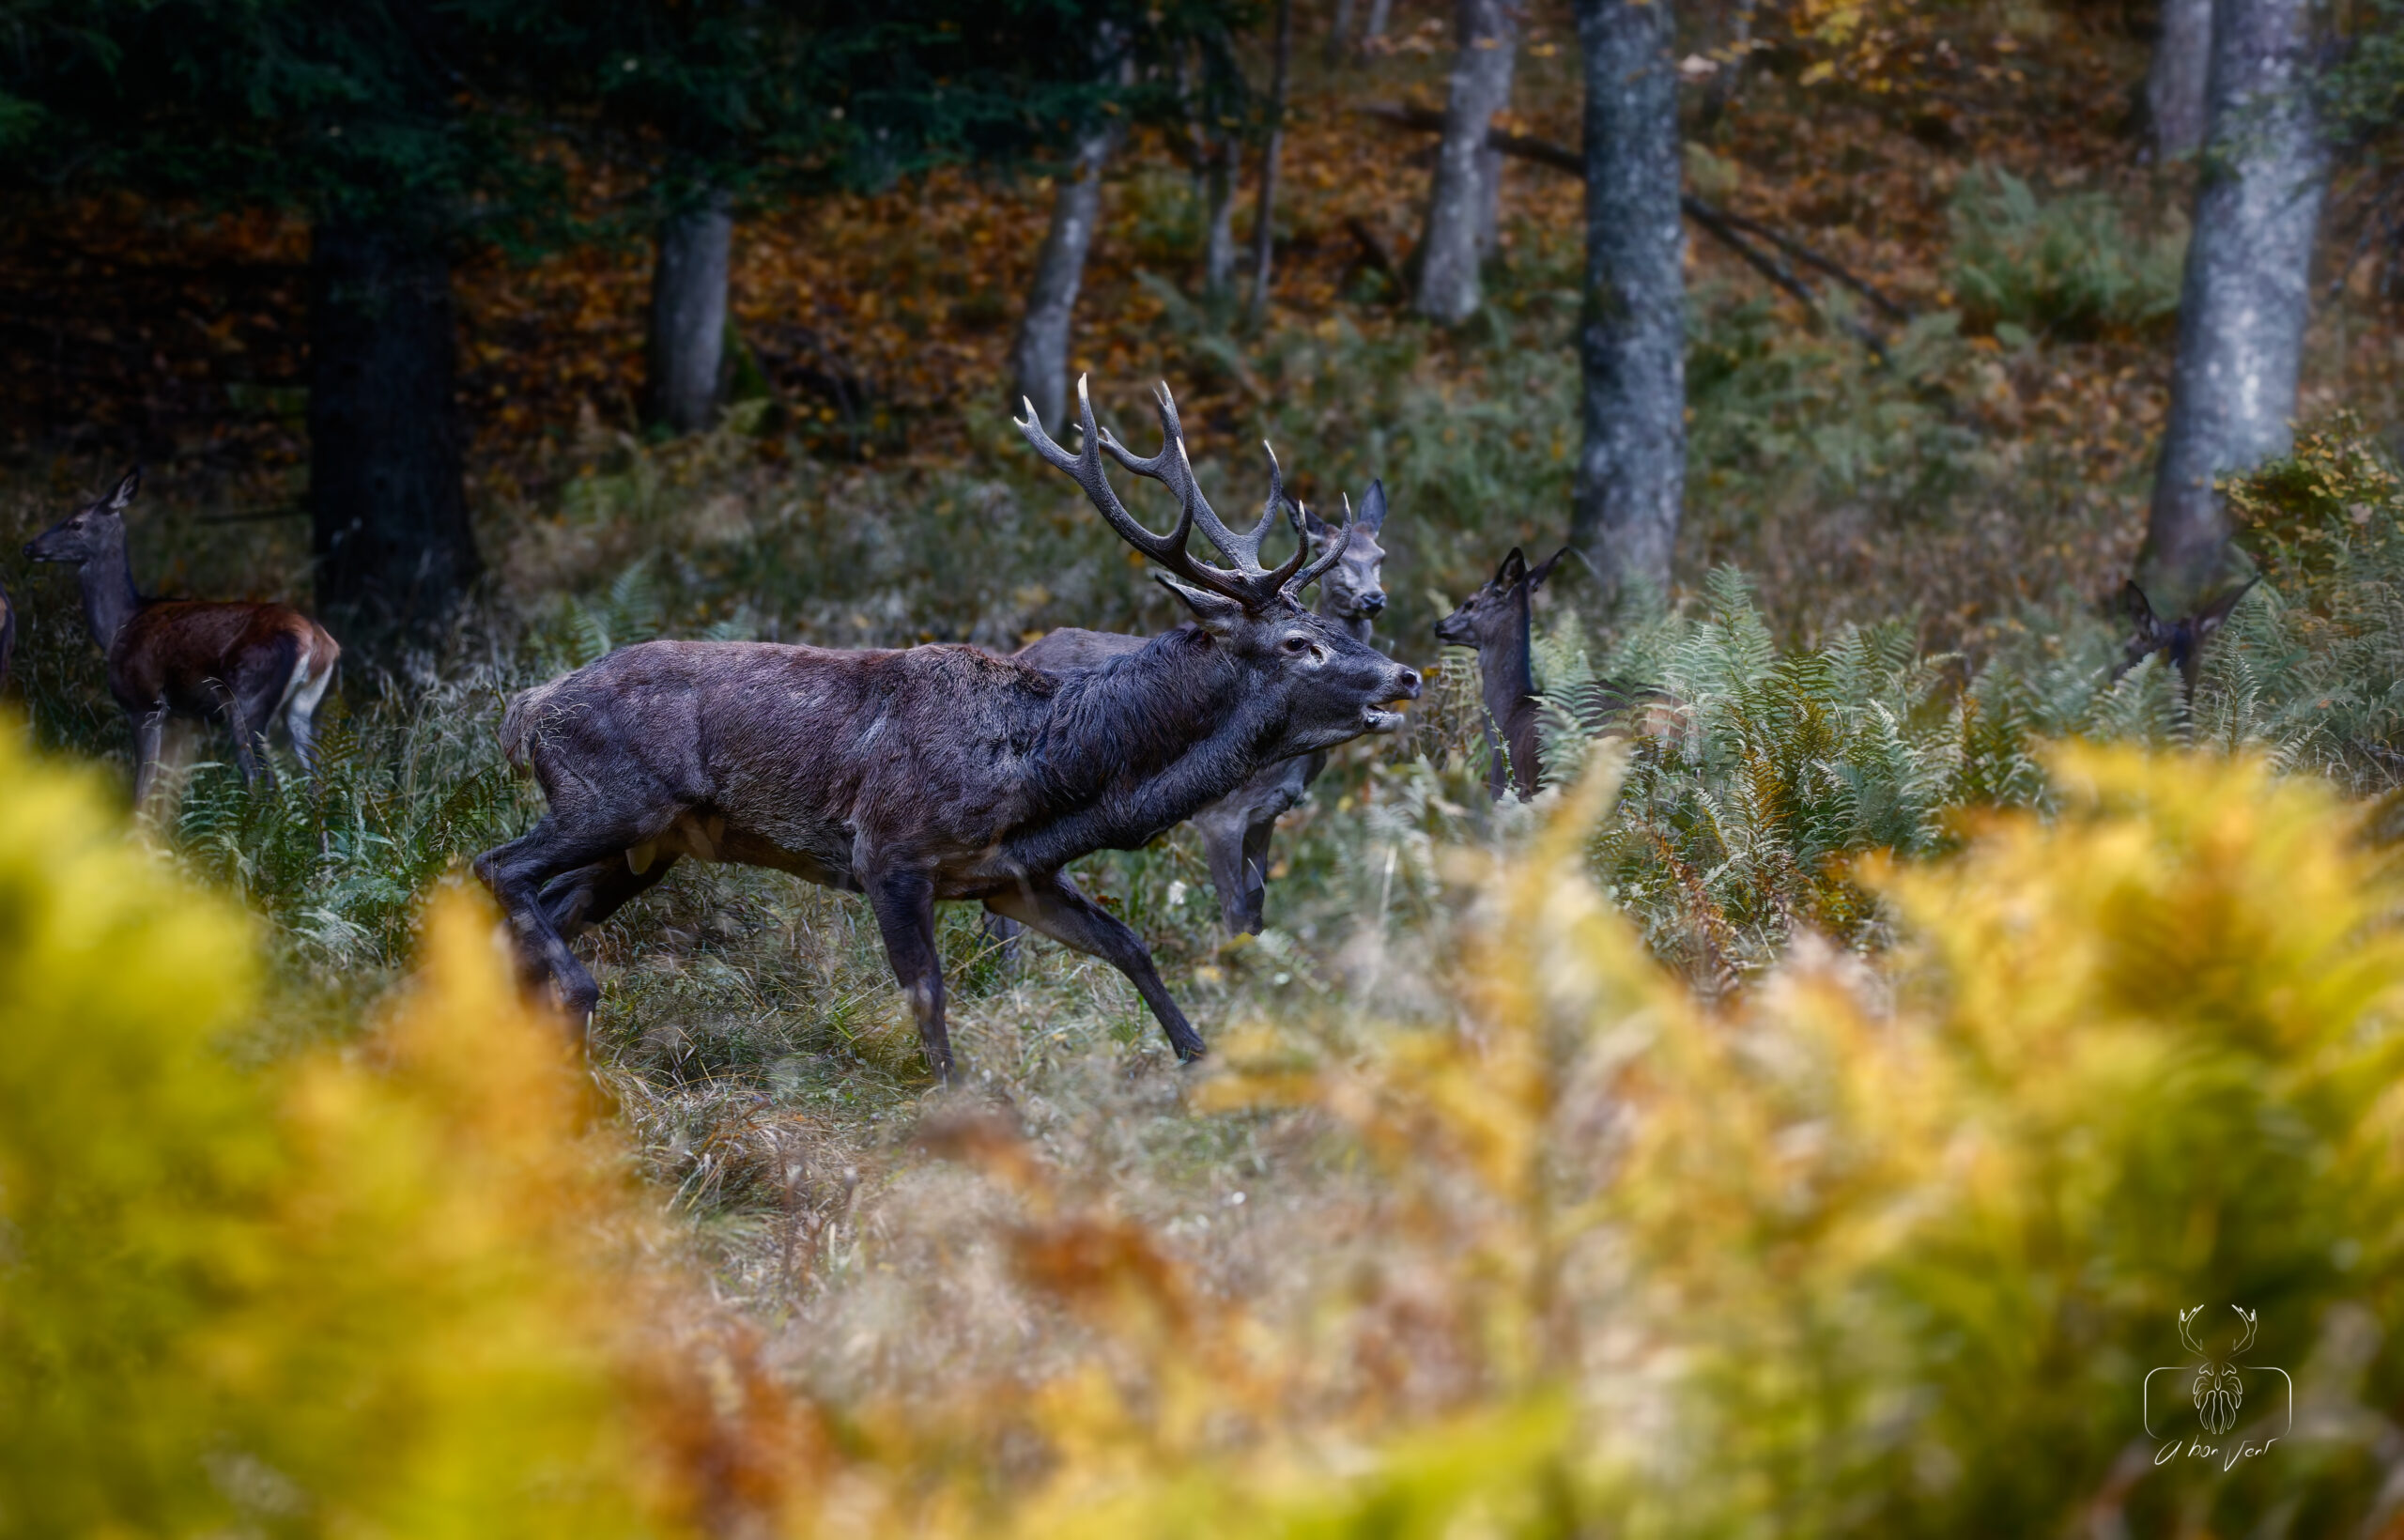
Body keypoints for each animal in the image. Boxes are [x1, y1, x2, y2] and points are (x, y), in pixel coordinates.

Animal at [23, 469, 342, 806]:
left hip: (247, 697)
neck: (119, 624)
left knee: (263, 781)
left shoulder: (145, 702)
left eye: (77, 522)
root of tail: (318, 641)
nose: (30, 547)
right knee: (315, 782)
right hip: (304, 707)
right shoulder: (181, 718)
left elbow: (143, 787)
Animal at [1014, 481, 1393, 933]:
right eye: (1337, 560)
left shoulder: (1268, 814)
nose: (1374, 598)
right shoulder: (1219, 815)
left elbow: (1257, 909)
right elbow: (1236, 912)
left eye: (1380, 556)